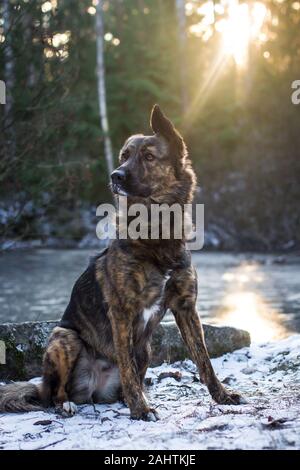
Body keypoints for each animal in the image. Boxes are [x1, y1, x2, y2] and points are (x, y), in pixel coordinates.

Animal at [0, 104, 244, 416]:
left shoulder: (186, 306)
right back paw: (68, 404)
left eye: (149, 157)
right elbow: (127, 366)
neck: (156, 232)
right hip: (63, 337)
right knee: (52, 393)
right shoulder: (122, 311)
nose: (115, 176)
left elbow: (204, 359)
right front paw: (141, 411)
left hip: (147, 349)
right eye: (124, 156)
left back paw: (126, 398)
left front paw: (222, 395)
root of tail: (92, 390)